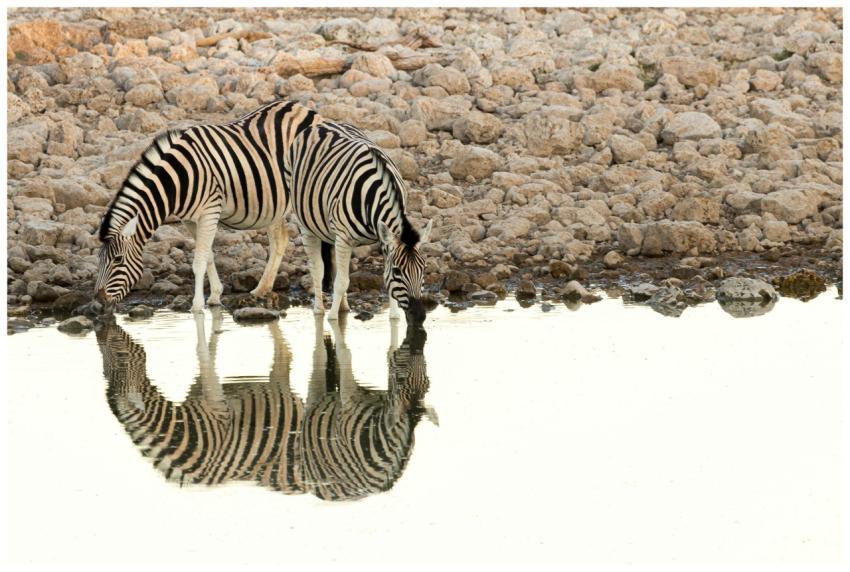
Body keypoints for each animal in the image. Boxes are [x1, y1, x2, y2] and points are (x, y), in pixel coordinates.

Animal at [95, 100, 322, 313]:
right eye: (99, 259)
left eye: (118, 260)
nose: (98, 301)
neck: (178, 181)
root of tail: (302, 108)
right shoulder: (189, 220)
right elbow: (209, 255)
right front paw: (214, 296)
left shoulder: (210, 211)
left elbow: (199, 262)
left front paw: (197, 306)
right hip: (275, 204)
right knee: (280, 240)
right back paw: (262, 289)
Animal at [286, 121, 433, 323]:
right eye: (397, 271)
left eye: (424, 269)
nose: (419, 316)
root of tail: (324, 123)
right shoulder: (344, 237)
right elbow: (341, 282)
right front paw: (332, 319)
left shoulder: (382, 239)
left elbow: (379, 279)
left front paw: (394, 318)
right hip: (306, 222)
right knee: (318, 268)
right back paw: (319, 311)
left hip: (332, 233)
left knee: (334, 268)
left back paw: (344, 307)